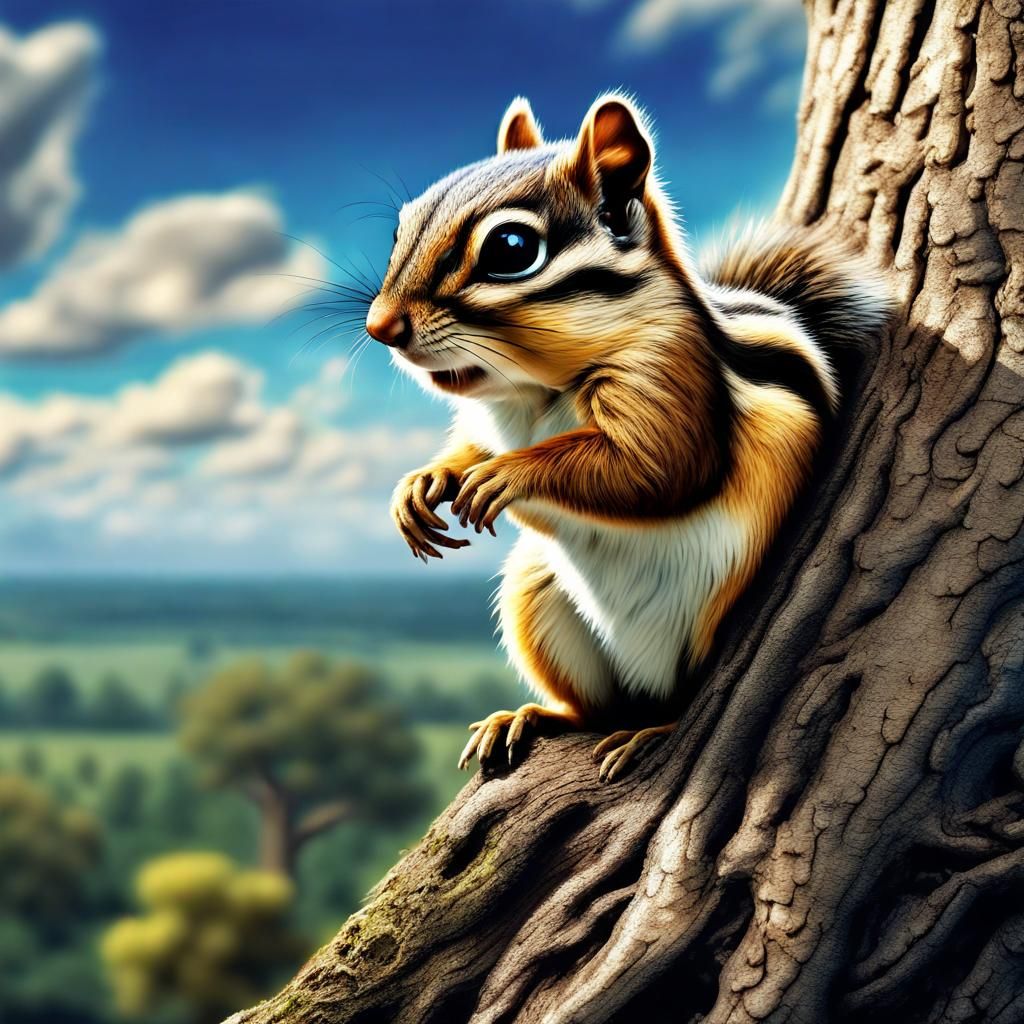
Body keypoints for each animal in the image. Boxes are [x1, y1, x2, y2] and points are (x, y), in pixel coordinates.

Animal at [365, 94, 891, 781]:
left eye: (511, 247)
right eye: (400, 230)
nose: (379, 326)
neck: (534, 392)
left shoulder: (670, 375)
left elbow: (656, 467)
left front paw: (507, 474)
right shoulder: (488, 420)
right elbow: (471, 450)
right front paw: (423, 484)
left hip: (715, 621)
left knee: (678, 702)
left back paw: (652, 733)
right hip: (536, 598)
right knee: (594, 710)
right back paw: (529, 718)